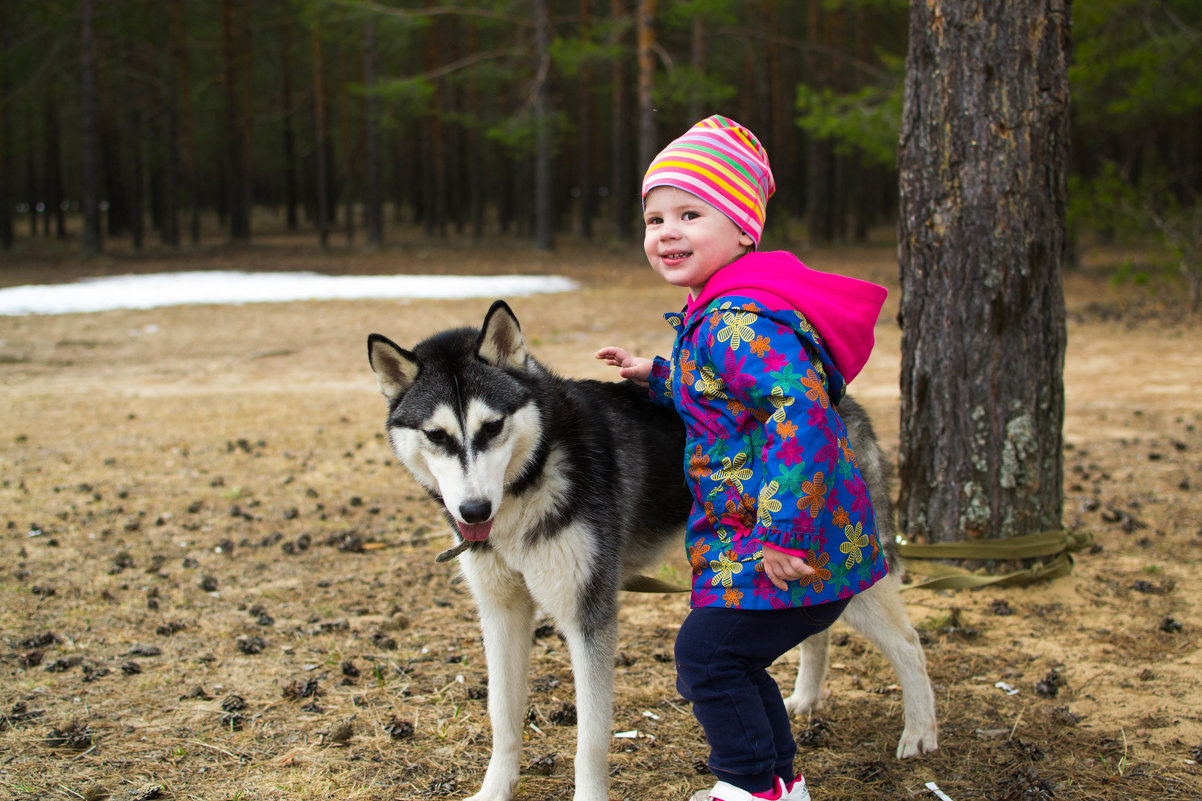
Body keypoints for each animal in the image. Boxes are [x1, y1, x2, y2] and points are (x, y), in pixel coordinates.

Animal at [365, 299, 937, 798]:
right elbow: (503, 718)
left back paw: (920, 732)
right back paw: (805, 697)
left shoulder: (589, 616)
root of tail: (842, 402)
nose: (474, 511)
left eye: (492, 427)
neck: (530, 480)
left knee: (909, 644)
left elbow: (590, 741)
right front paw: (494, 791)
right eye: (437, 436)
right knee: (817, 631)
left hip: (849, 566)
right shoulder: (501, 612)